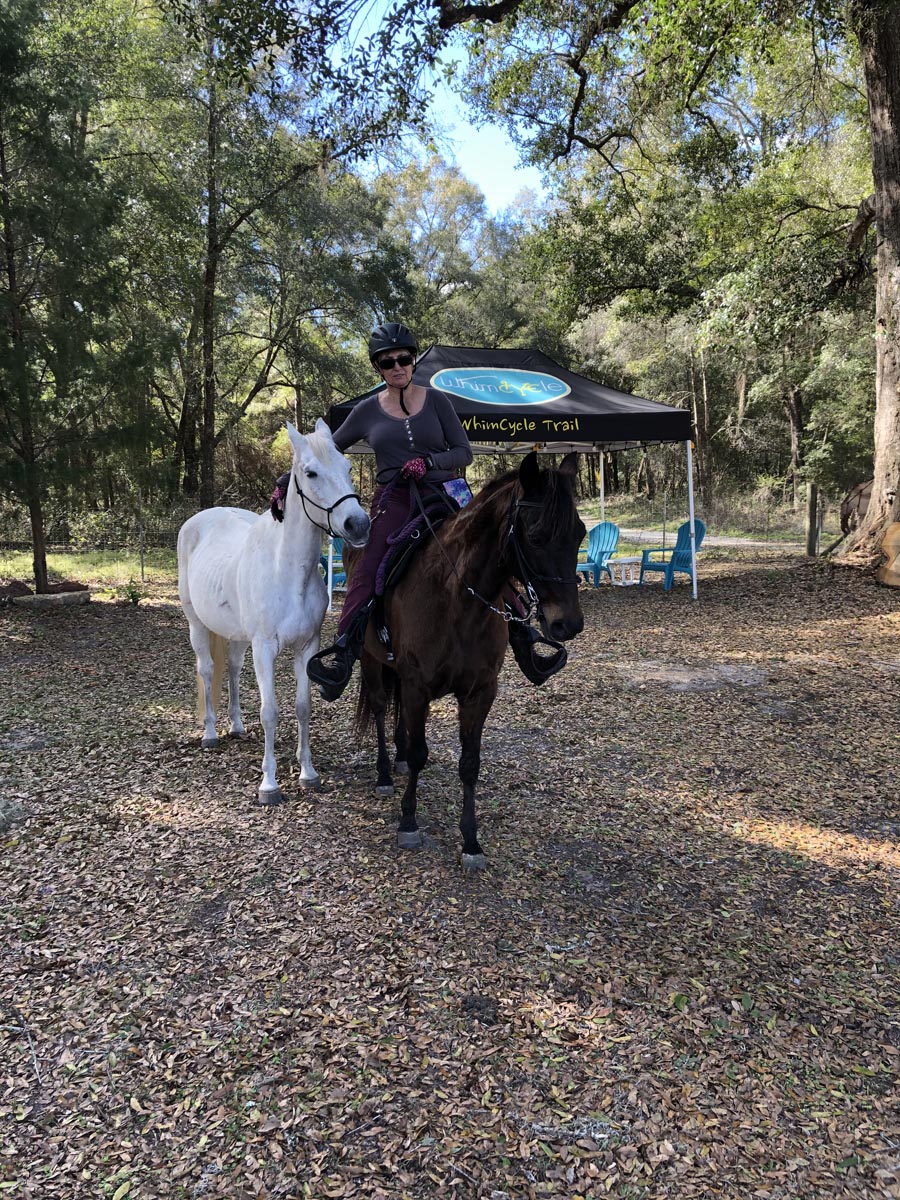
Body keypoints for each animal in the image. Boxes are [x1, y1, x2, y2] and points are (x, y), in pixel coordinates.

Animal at [177, 419, 370, 804]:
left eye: (347, 468)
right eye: (310, 473)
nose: (358, 524)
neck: (288, 573)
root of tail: (201, 518)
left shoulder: (306, 648)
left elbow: (302, 707)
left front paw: (308, 774)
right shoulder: (264, 648)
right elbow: (270, 712)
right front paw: (269, 784)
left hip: (237, 636)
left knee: (233, 669)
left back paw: (236, 727)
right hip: (196, 624)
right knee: (207, 670)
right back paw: (211, 734)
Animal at [354, 451, 586, 869]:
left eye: (580, 534)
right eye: (536, 536)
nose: (568, 623)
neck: (457, 600)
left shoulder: (479, 692)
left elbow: (470, 764)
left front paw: (471, 841)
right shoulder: (417, 686)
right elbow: (420, 753)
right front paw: (409, 821)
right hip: (371, 659)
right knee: (380, 708)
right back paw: (384, 773)